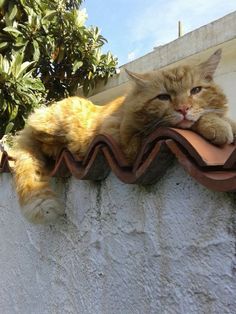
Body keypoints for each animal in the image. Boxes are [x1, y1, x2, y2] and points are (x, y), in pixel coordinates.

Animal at [12, 49, 236, 223]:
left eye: (196, 90)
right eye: (163, 97)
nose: (183, 109)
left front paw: (226, 124)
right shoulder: (129, 141)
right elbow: (192, 122)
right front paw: (217, 127)